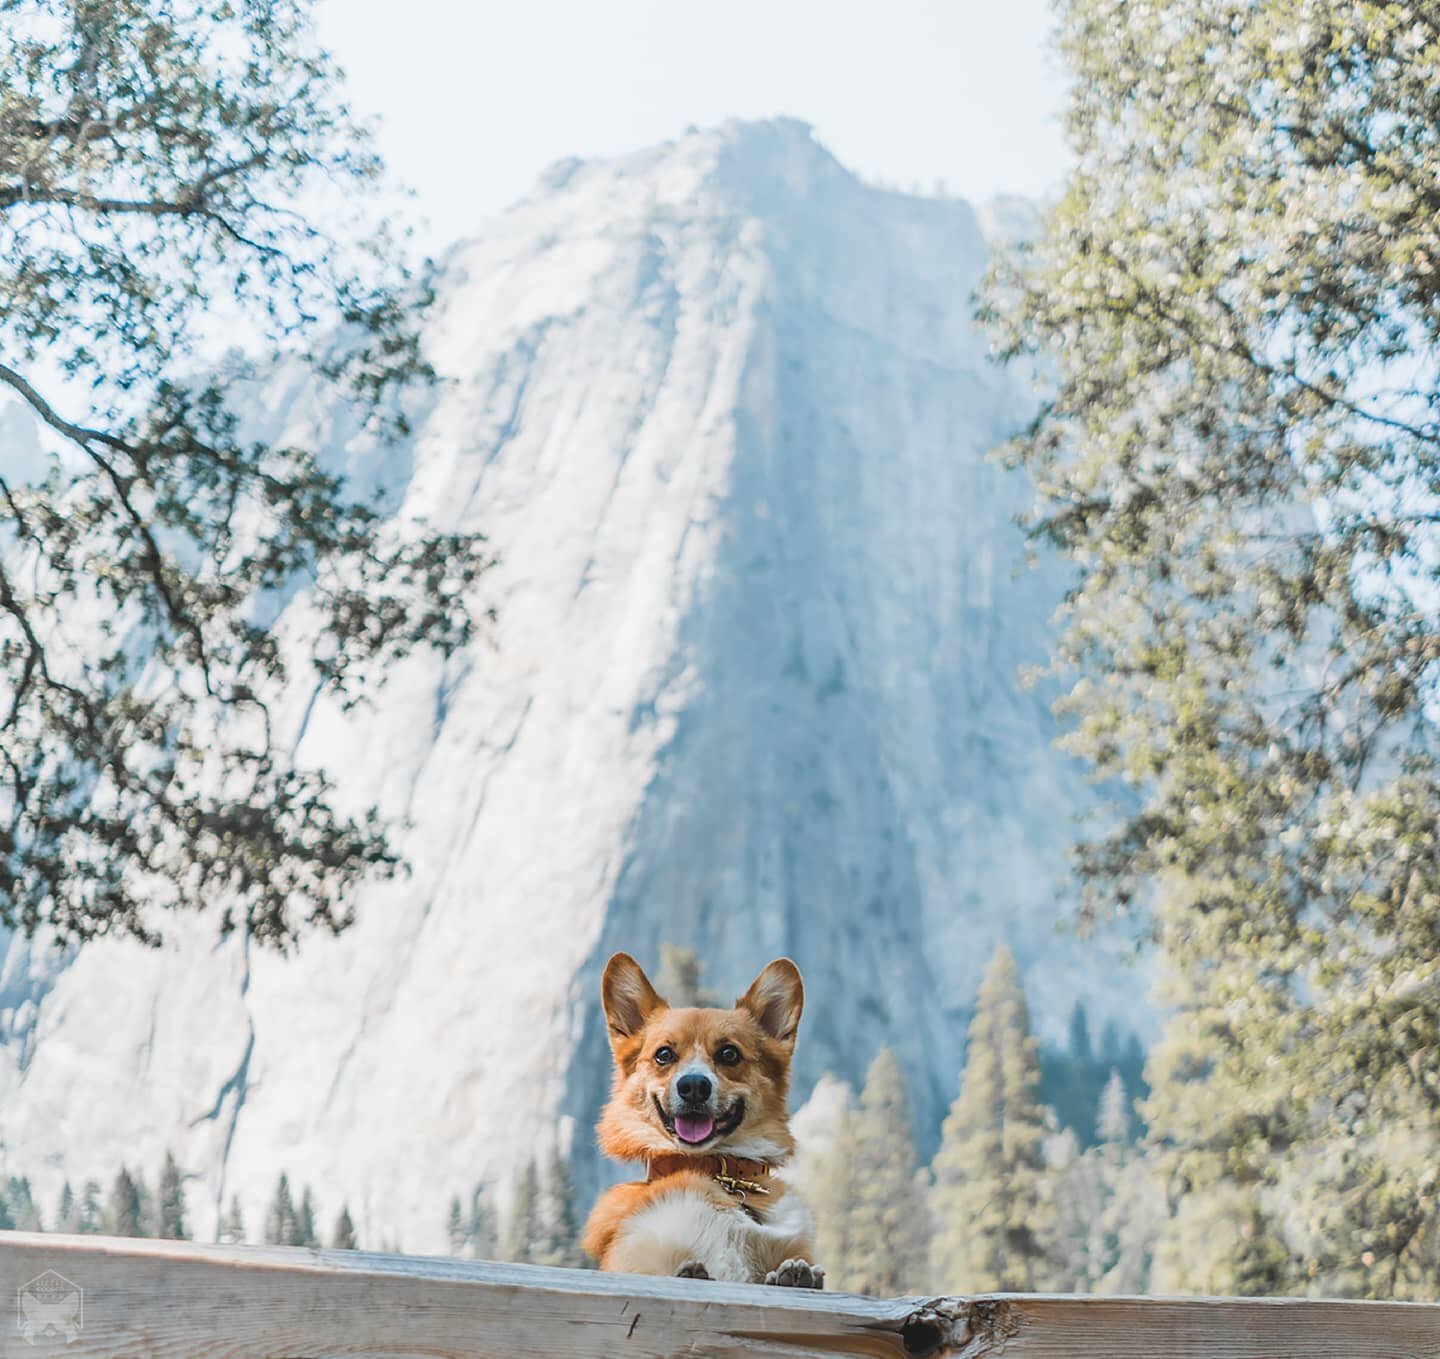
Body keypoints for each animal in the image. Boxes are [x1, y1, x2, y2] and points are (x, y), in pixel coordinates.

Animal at [576, 950, 823, 1289]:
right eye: (664, 1054)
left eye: (729, 1054)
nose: (693, 1086)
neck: (717, 1173)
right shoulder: (639, 1257)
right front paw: (692, 1272)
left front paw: (795, 1274)